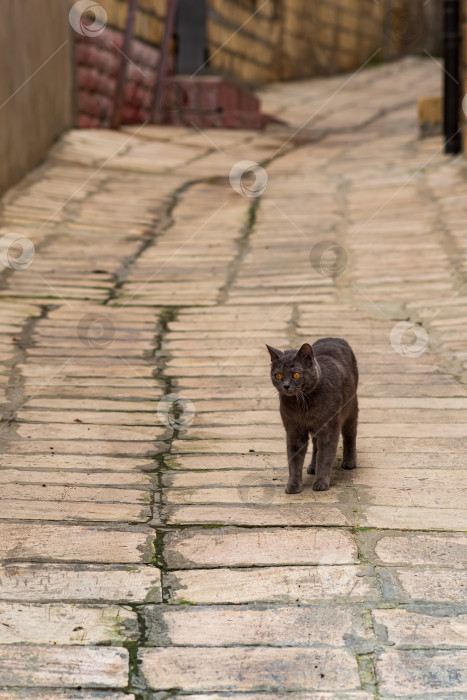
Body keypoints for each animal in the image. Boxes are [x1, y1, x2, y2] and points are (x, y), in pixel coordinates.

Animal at [266, 338, 358, 492]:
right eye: (278, 375)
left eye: (296, 374)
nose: (286, 386)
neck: (302, 406)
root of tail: (334, 338)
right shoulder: (294, 430)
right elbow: (294, 459)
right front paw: (293, 486)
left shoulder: (329, 428)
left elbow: (325, 455)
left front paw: (321, 483)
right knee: (315, 445)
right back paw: (312, 467)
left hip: (351, 409)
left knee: (349, 436)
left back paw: (349, 462)